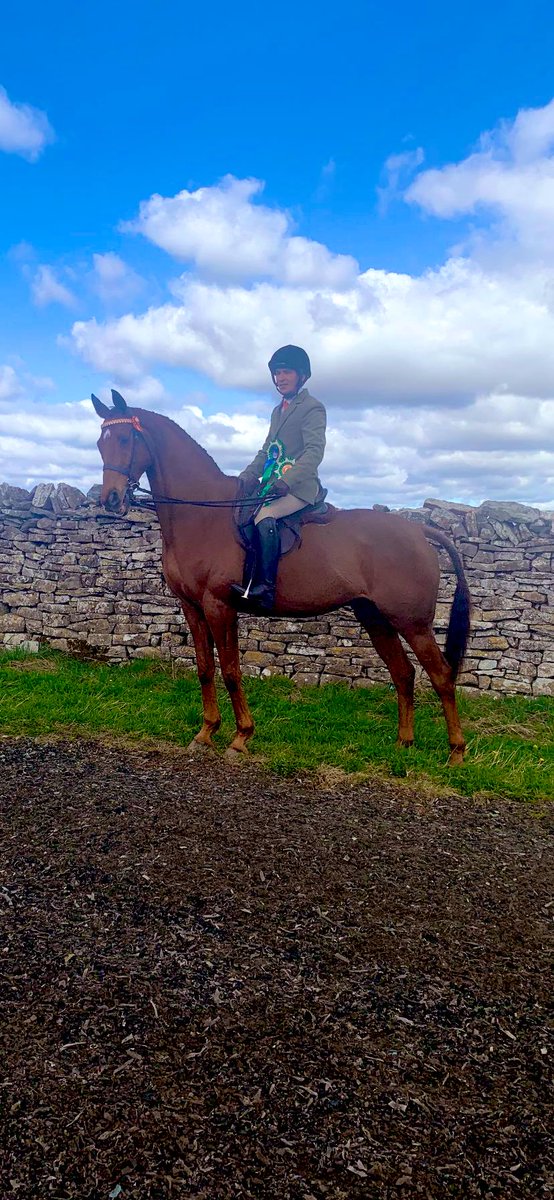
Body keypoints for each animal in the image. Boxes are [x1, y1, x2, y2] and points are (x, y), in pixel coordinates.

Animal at [91, 393, 472, 768]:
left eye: (125, 439)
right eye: (99, 442)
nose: (111, 500)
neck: (203, 517)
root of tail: (418, 531)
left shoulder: (219, 606)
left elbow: (231, 671)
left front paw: (241, 737)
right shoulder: (192, 607)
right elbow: (204, 669)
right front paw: (206, 733)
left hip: (412, 623)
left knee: (441, 675)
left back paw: (455, 752)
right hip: (375, 618)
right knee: (403, 673)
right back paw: (403, 744)